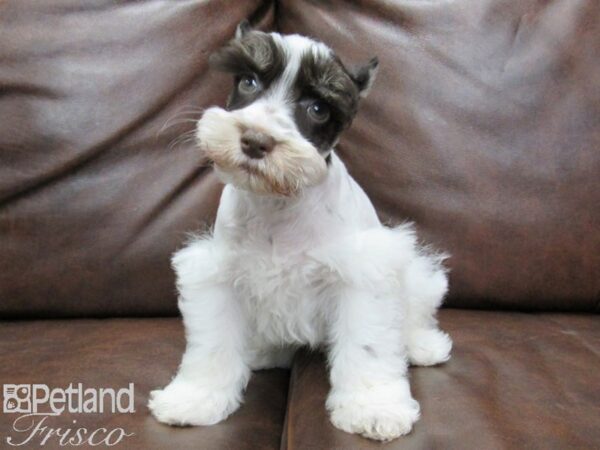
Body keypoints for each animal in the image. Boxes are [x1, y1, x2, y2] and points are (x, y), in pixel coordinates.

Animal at [149, 22, 450, 442]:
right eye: (248, 81)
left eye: (318, 108)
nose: (255, 140)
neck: (279, 202)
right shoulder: (217, 276)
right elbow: (212, 345)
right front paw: (196, 397)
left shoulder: (361, 277)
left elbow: (368, 347)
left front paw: (372, 406)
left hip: (417, 279)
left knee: (413, 317)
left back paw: (423, 346)